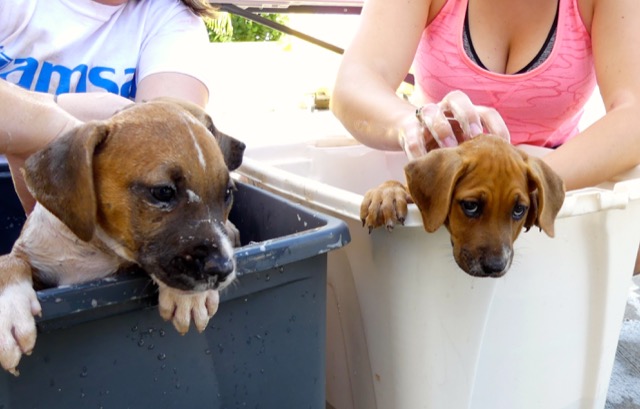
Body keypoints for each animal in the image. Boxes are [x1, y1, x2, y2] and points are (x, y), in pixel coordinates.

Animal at [0, 97, 245, 374]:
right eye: (163, 191)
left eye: (228, 193)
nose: (223, 268)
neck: (89, 248)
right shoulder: (31, 254)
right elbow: (8, 261)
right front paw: (8, 312)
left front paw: (190, 298)